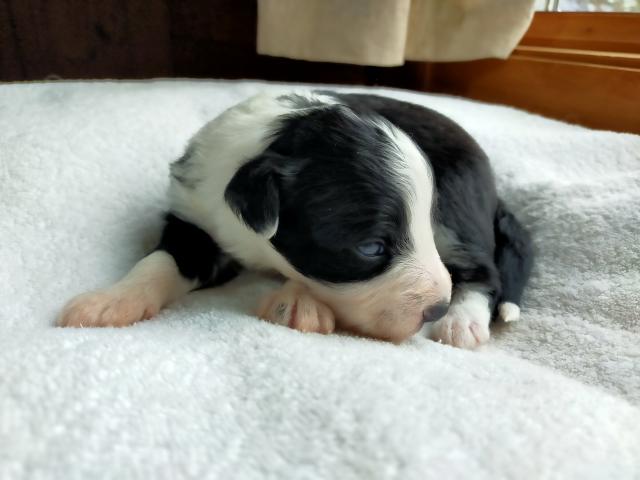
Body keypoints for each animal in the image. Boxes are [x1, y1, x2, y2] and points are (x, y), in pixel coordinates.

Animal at [58, 91, 533, 348]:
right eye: (371, 247)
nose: (435, 307)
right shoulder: (193, 216)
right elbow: (159, 261)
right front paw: (108, 302)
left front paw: (297, 302)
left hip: (457, 205)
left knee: (485, 270)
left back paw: (462, 322)